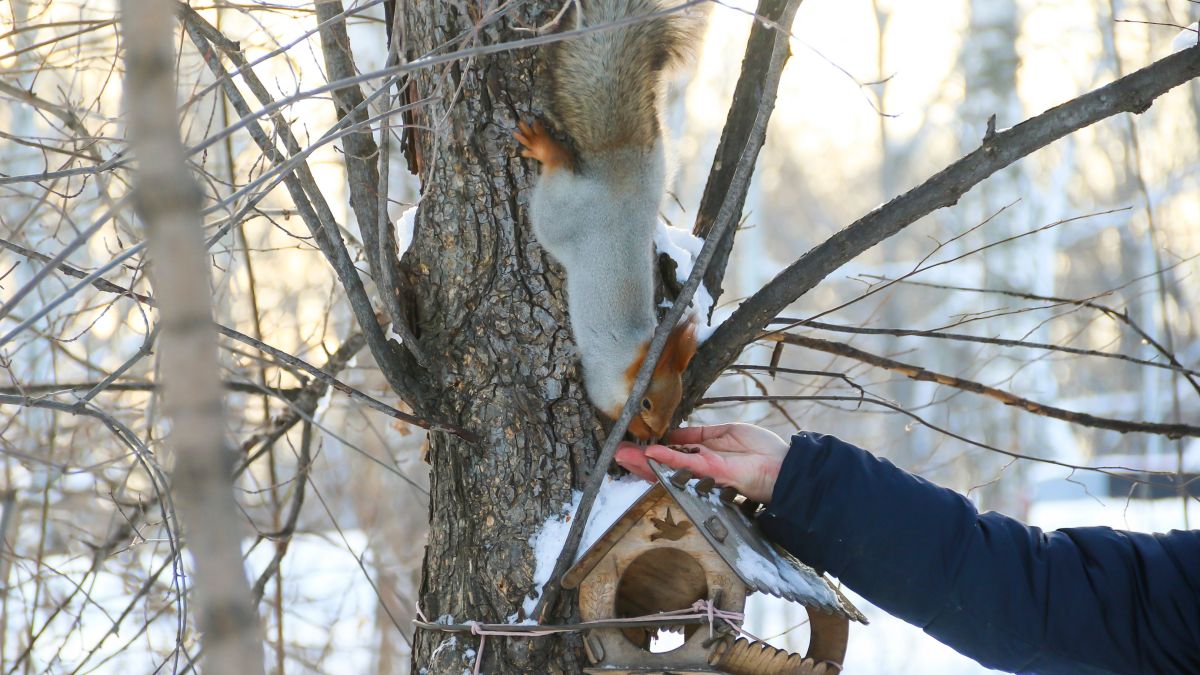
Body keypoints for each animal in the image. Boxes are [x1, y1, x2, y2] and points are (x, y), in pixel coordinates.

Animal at [513, 0, 700, 439]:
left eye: (676, 403)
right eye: (646, 403)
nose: (657, 433)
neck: (635, 360)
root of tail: (620, 178)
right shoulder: (602, 380)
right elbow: (605, 402)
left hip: (654, 170)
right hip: (560, 215)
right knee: (555, 183)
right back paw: (547, 150)